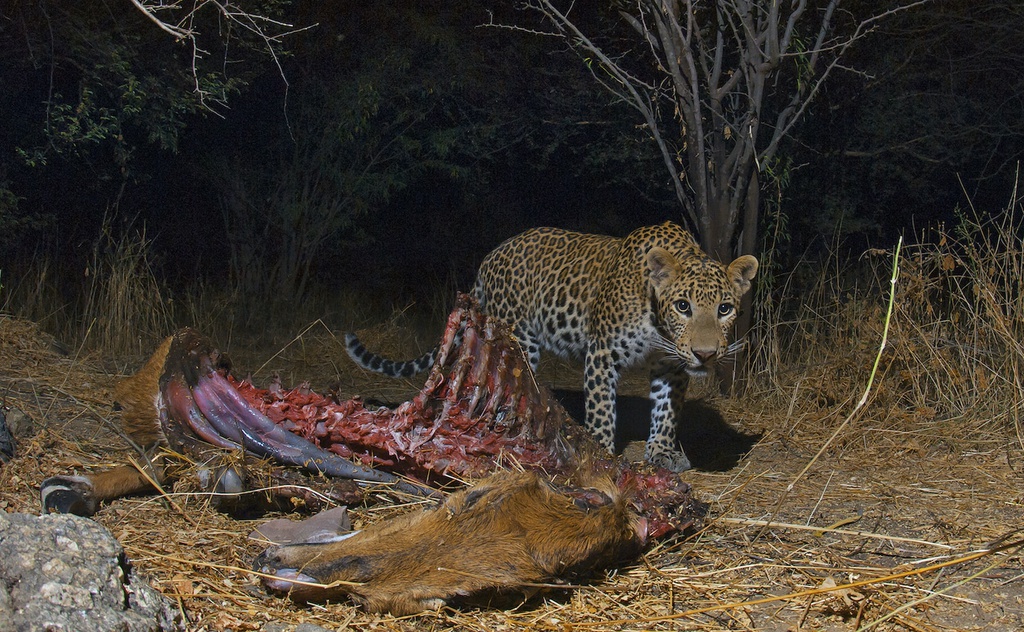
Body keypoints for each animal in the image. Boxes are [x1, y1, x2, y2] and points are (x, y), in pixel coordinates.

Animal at [348, 222, 757, 473]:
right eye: (683, 306)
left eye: (724, 308)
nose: (706, 354)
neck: (657, 321)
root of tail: (490, 257)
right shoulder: (602, 353)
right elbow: (602, 411)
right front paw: (602, 453)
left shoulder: (670, 366)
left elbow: (666, 412)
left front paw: (662, 452)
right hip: (519, 338)